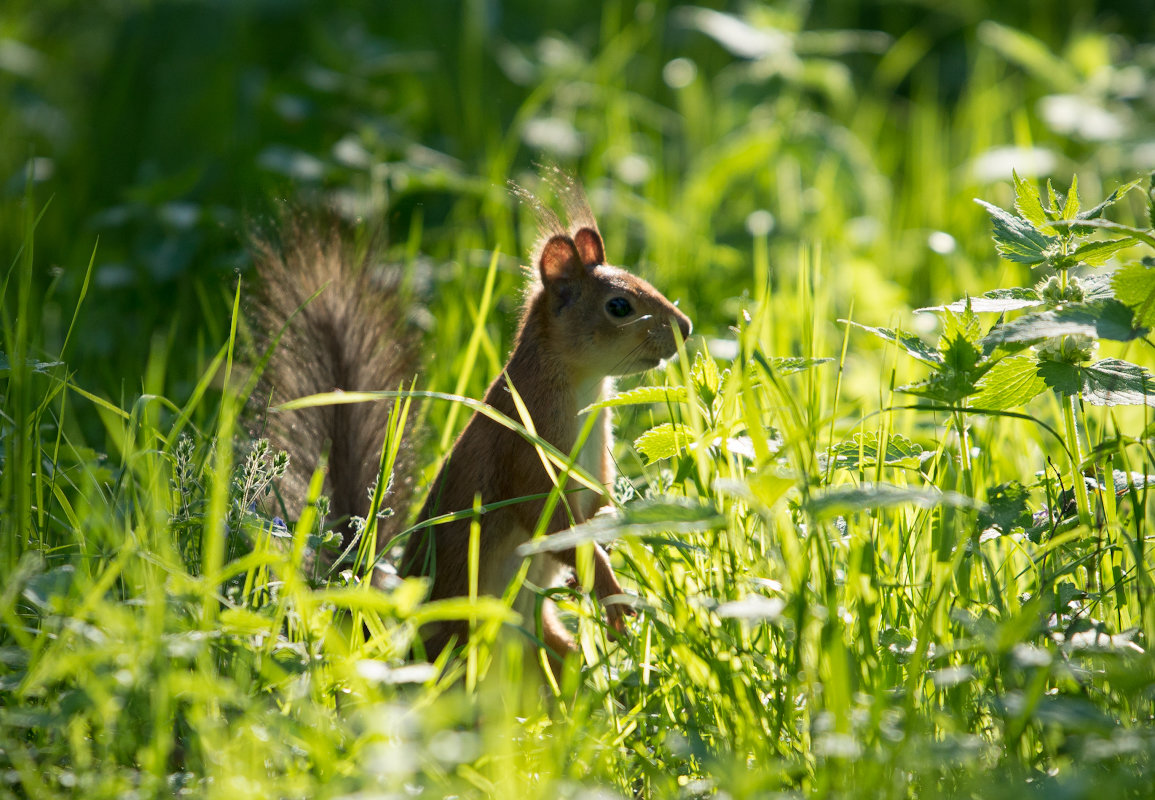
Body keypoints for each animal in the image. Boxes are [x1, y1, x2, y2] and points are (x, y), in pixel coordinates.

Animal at [249, 174, 688, 669]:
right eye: (619, 306)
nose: (686, 327)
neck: (584, 390)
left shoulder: (596, 462)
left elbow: (596, 506)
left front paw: (611, 533)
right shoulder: (526, 451)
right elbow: (553, 524)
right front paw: (609, 586)